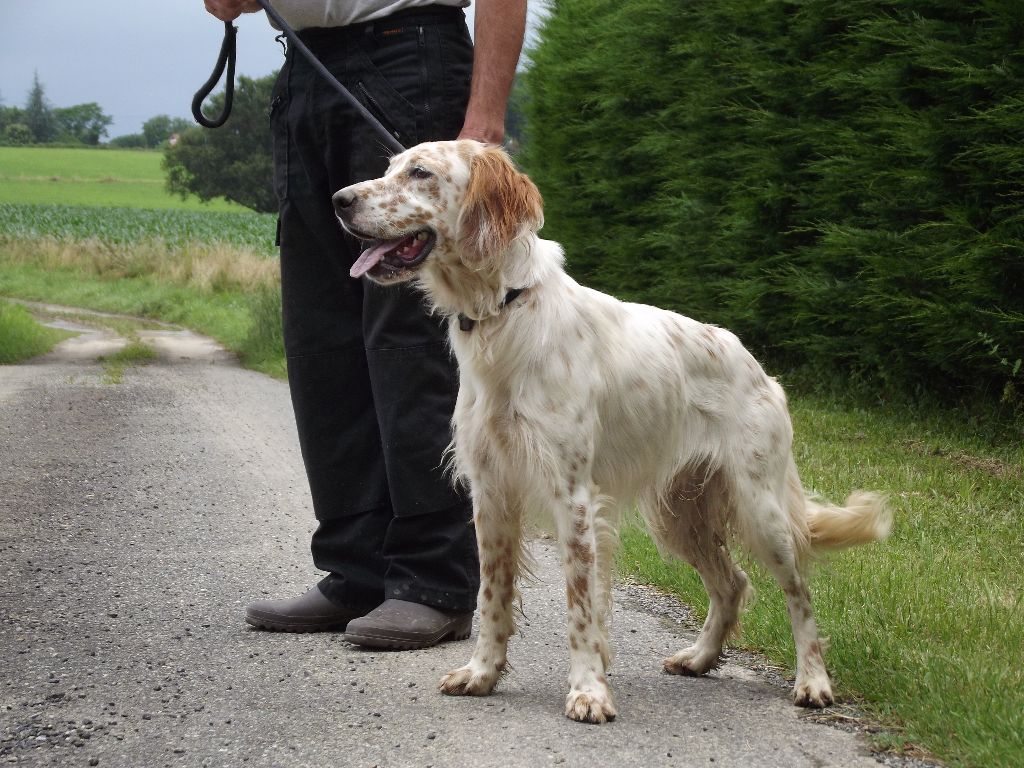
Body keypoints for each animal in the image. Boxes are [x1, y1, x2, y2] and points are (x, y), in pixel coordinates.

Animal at [333, 141, 888, 724]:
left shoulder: (574, 496)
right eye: (390, 168)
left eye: (420, 172)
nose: (339, 199)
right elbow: (492, 595)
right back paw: (700, 657)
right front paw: (482, 672)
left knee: (799, 594)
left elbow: (580, 605)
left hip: (760, 509)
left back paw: (813, 680)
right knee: (731, 583)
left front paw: (588, 691)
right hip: (679, 516)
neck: (504, 311)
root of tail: (761, 371)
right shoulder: (492, 493)